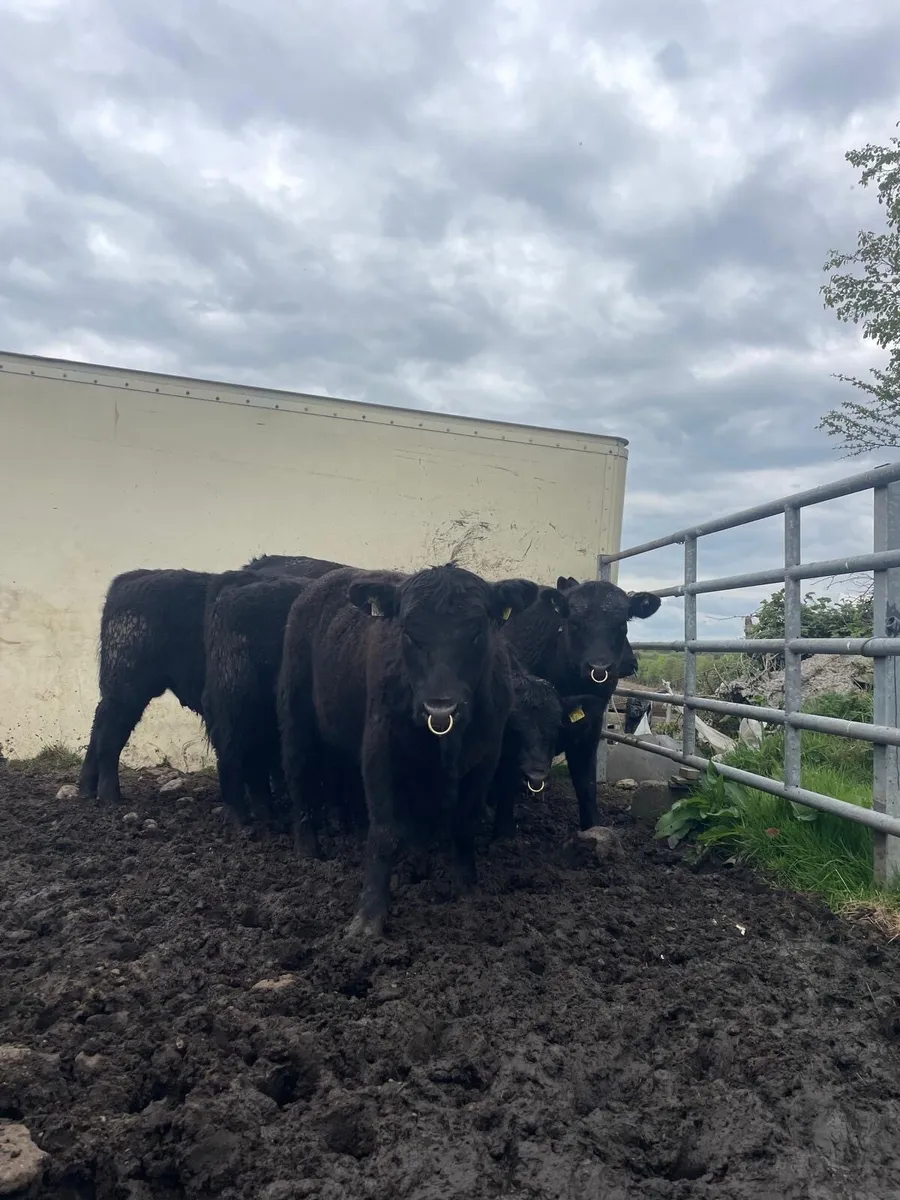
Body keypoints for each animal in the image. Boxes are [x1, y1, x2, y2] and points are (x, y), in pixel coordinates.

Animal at [77, 554, 340, 805]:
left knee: (99, 727)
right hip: (129, 690)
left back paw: (86, 790)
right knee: (110, 733)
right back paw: (110, 796)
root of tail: (125, 582)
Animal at [276, 562, 542, 938]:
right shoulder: (380, 749)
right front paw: (369, 917)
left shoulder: (485, 757)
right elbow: (385, 832)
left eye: (477, 632)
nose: (440, 706)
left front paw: (467, 893)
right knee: (299, 775)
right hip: (295, 712)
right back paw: (308, 849)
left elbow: (463, 823)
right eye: (408, 632)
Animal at [502, 577, 661, 830]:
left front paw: (592, 829)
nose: (599, 668)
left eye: (622, 624)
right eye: (574, 623)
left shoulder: (590, 732)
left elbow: (586, 785)